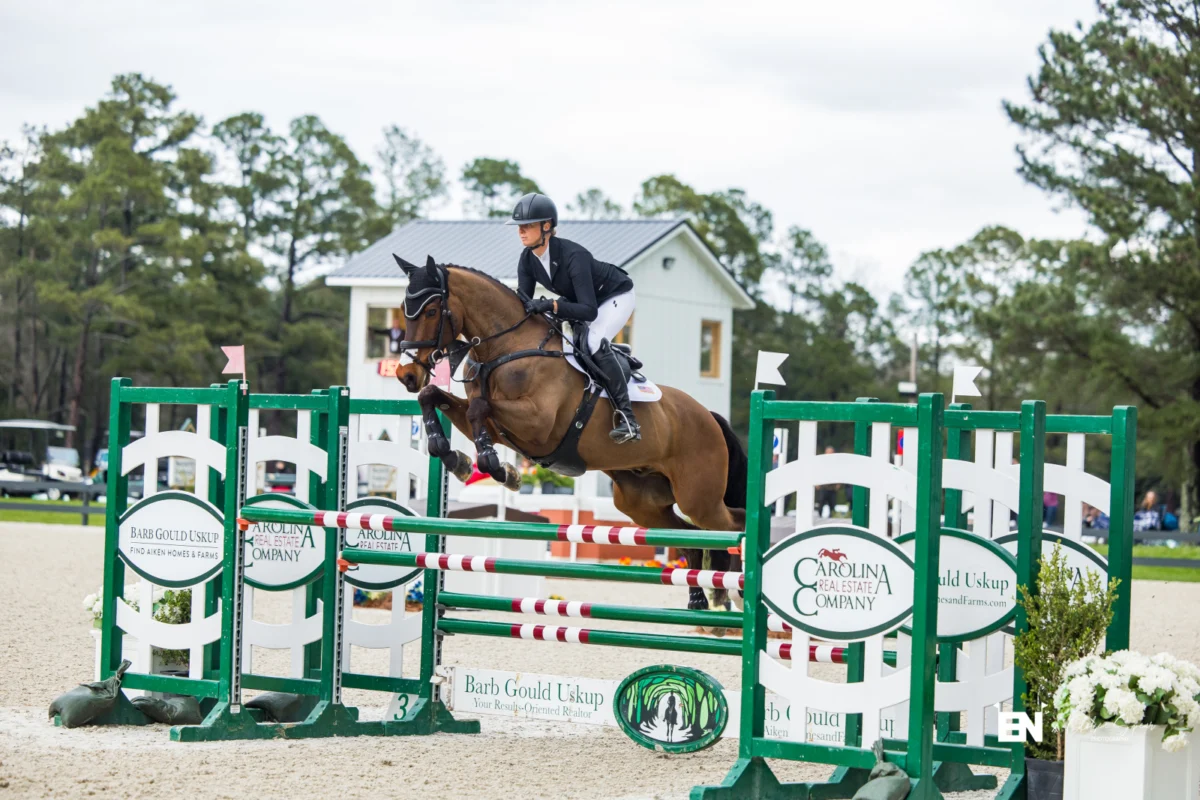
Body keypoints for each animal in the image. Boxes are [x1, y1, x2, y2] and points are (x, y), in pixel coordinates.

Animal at [391, 255, 746, 611]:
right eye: (404, 308)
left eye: (431, 311)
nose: (406, 375)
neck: (507, 347)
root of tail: (710, 417)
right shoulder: (501, 426)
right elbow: (435, 397)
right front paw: (457, 458)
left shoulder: (538, 423)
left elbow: (478, 409)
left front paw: (496, 466)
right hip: (641, 502)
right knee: (689, 538)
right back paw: (700, 597)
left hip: (698, 497)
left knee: (734, 523)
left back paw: (735, 590)